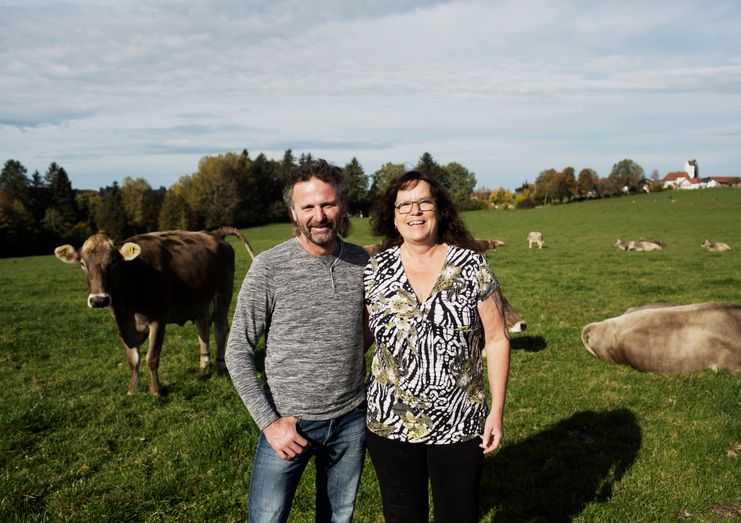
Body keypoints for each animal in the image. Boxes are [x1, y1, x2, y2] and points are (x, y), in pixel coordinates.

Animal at [53, 227, 253, 396]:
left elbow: (152, 357)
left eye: (113, 262)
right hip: (201, 301)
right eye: (82, 263)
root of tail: (214, 233)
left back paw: (219, 366)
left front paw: (156, 390)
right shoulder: (122, 323)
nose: (98, 300)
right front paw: (133, 389)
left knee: (220, 329)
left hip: (223, 295)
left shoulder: (158, 320)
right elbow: (132, 359)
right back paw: (204, 365)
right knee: (202, 329)